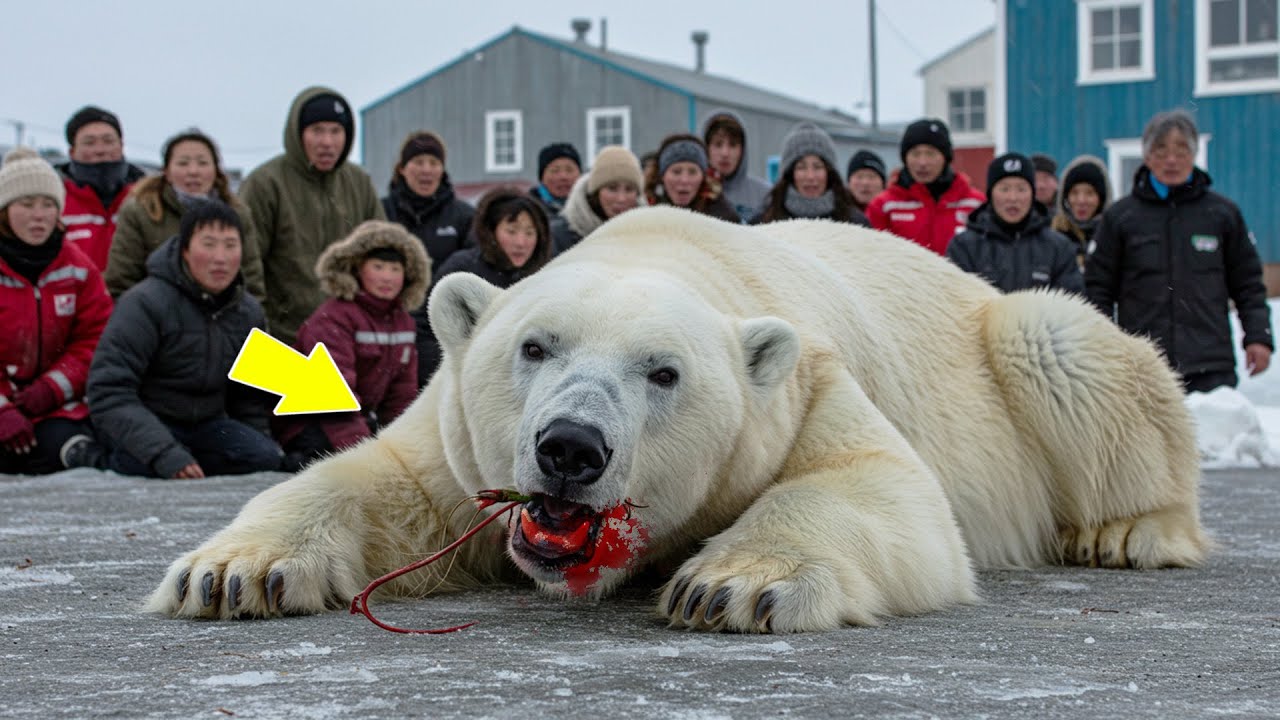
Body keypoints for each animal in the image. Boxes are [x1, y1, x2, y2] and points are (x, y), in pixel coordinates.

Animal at [146, 206, 1207, 633]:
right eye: (534, 347)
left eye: (663, 373)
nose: (570, 448)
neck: (665, 244)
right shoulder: (456, 439)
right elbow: (378, 484)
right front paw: (230, 573)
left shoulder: (797, 388)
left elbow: (883, 489)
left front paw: (730, 587)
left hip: (1014, 341)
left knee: (1064, 346)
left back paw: (1128, 532)